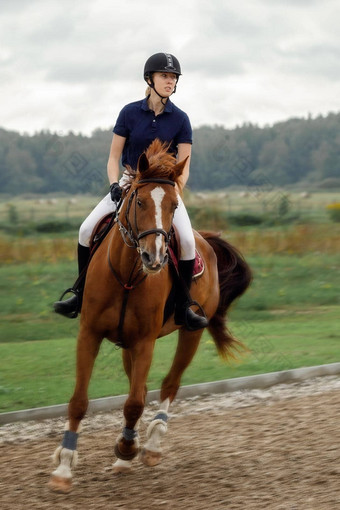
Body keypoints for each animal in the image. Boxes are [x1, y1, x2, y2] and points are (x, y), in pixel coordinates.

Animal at [49, 137, 252, 492]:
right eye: (139, 201)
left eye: (173, 206)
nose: (154, 257)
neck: (128, 275)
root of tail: (206, 239)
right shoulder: (90, 334)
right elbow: (80, 401)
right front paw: (64, 465)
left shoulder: (145, 341)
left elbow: (134, 402)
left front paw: (127, 447)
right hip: (126, 344)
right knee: (141, 388)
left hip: (191, 333)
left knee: (170, 384)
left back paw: (151, 445)